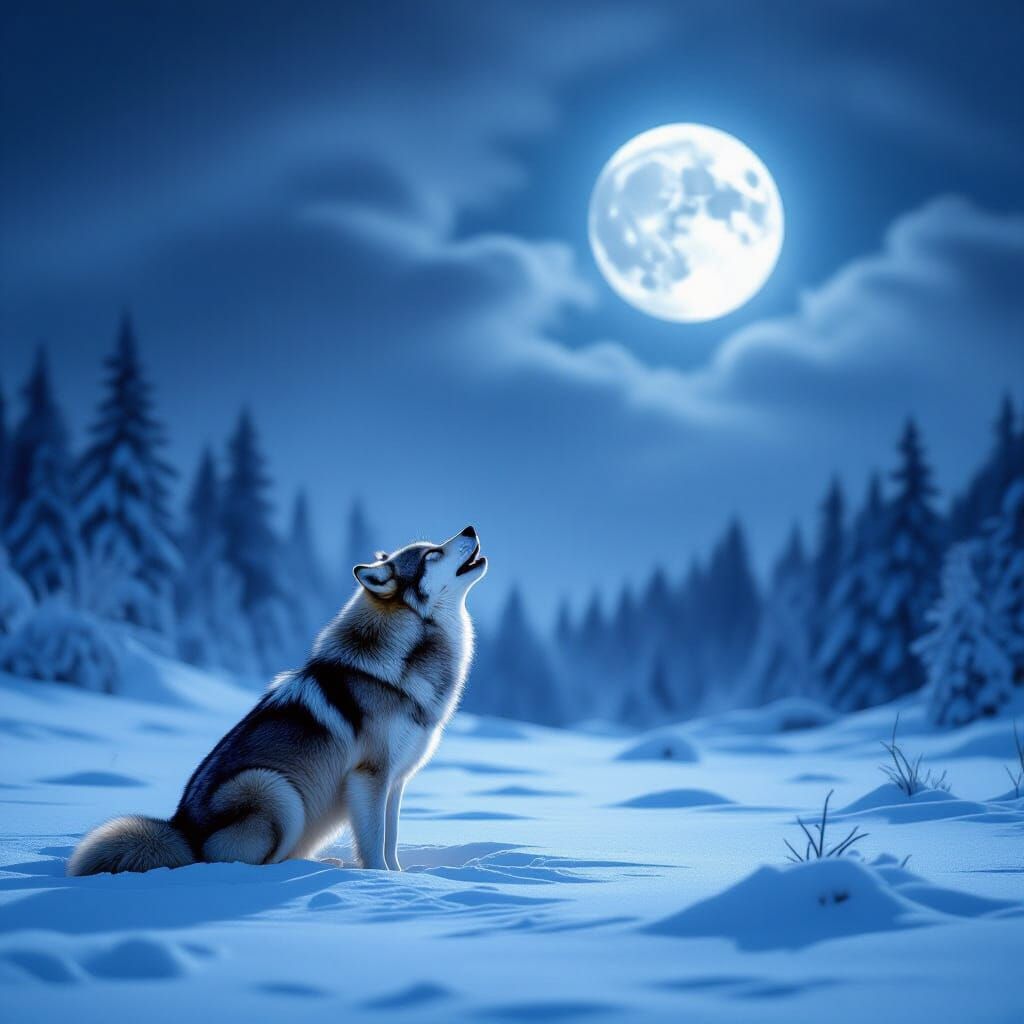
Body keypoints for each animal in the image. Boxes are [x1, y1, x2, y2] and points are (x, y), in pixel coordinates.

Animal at [67, 526, 487, 876]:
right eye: (432, 553)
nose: (470, 528)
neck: (403, 658)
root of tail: (180, 830)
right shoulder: (370, 776)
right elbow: (374, 845)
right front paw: (381, 881)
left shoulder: (395, 782)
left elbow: (392, 839)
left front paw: (403, 879)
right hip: (273, 789)